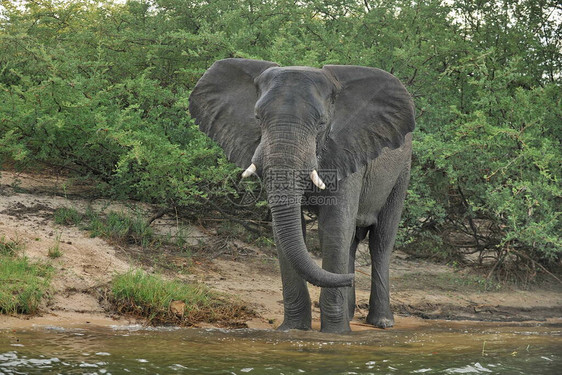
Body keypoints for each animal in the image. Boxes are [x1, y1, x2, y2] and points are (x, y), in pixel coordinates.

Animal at [190, 59, 414, 334]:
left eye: (321, 123)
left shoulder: (345, 149)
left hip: (402, 171)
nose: (349, 280)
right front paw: (293, 330)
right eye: (257, 118)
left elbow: (335, 227)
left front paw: (336, 333)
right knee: (352, 241)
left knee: (381, 240)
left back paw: (382, 322)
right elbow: (287, 228)